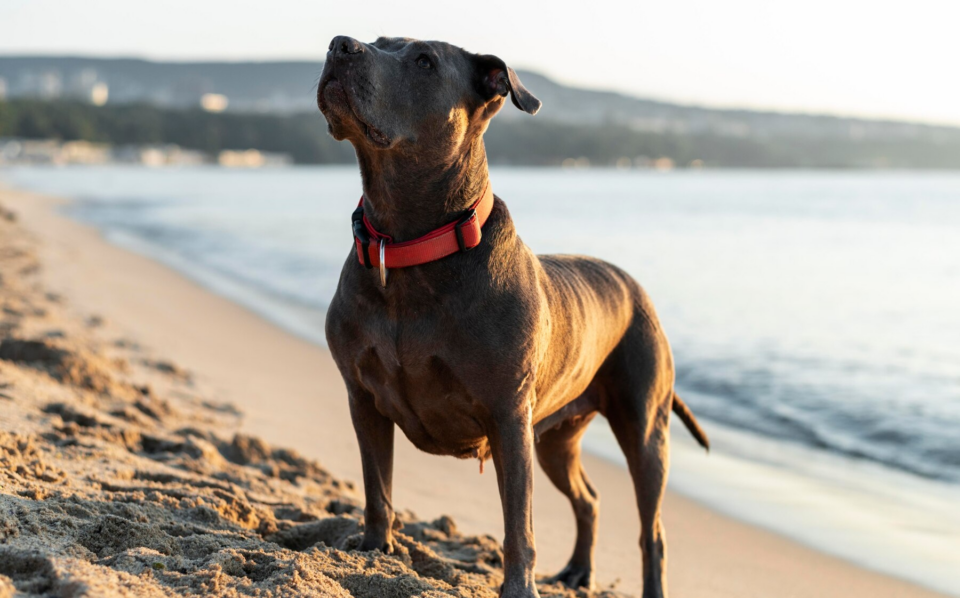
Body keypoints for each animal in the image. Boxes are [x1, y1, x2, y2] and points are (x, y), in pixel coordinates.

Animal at [318, 36, 708, 598]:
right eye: (378, 41)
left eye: (424, 61)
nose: (340, 45)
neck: (410, 245)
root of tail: (636, 289)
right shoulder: (363, 399)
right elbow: (377, 487)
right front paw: (374, 548)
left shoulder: (508, 419)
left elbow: (517, 522)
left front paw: (519, 587)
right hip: (558, 439)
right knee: (589, 499)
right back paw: (577, 571)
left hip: (644, 429)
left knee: (650, 530)